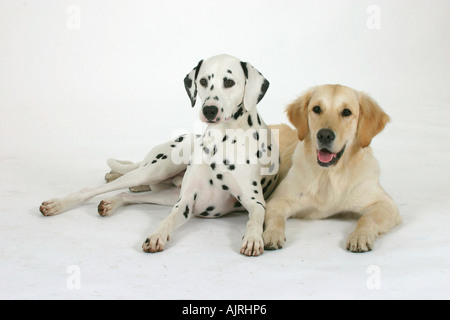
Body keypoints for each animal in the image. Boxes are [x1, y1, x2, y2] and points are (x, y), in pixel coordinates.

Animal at [39, 53, 278, 256]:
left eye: (229, 82)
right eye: (202, 81)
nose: (209, 110)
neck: (222, 141)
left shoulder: (254, 201)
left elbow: (256, 218)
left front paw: (253, 238)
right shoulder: (185, 202)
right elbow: (167, 220)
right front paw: (156, 235)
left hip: (165, 194)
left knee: (126, 195)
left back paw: (112, 202)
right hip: (156, 170)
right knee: (94, 189)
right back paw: (58, 204)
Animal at [264, 85, 400, 252]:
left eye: (346, 112)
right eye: (316, 109)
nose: (324, 135)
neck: (329, 175)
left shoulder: (385, 204)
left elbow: (367, 218)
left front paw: (359, 236)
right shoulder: (278, 200)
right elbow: (276, 219)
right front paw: (272, 234)